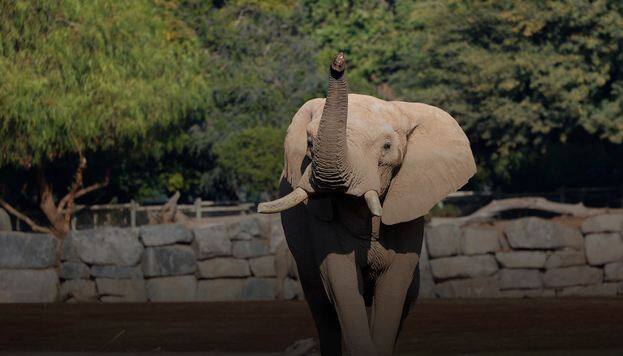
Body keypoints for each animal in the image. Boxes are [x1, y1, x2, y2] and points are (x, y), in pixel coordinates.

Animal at [256, 53, 476, 356]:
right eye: (310, 142)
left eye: (387, 147)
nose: (338, 62)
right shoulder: (321, 221)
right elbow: (340, 280)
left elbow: (394, 284)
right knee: (321, 307)